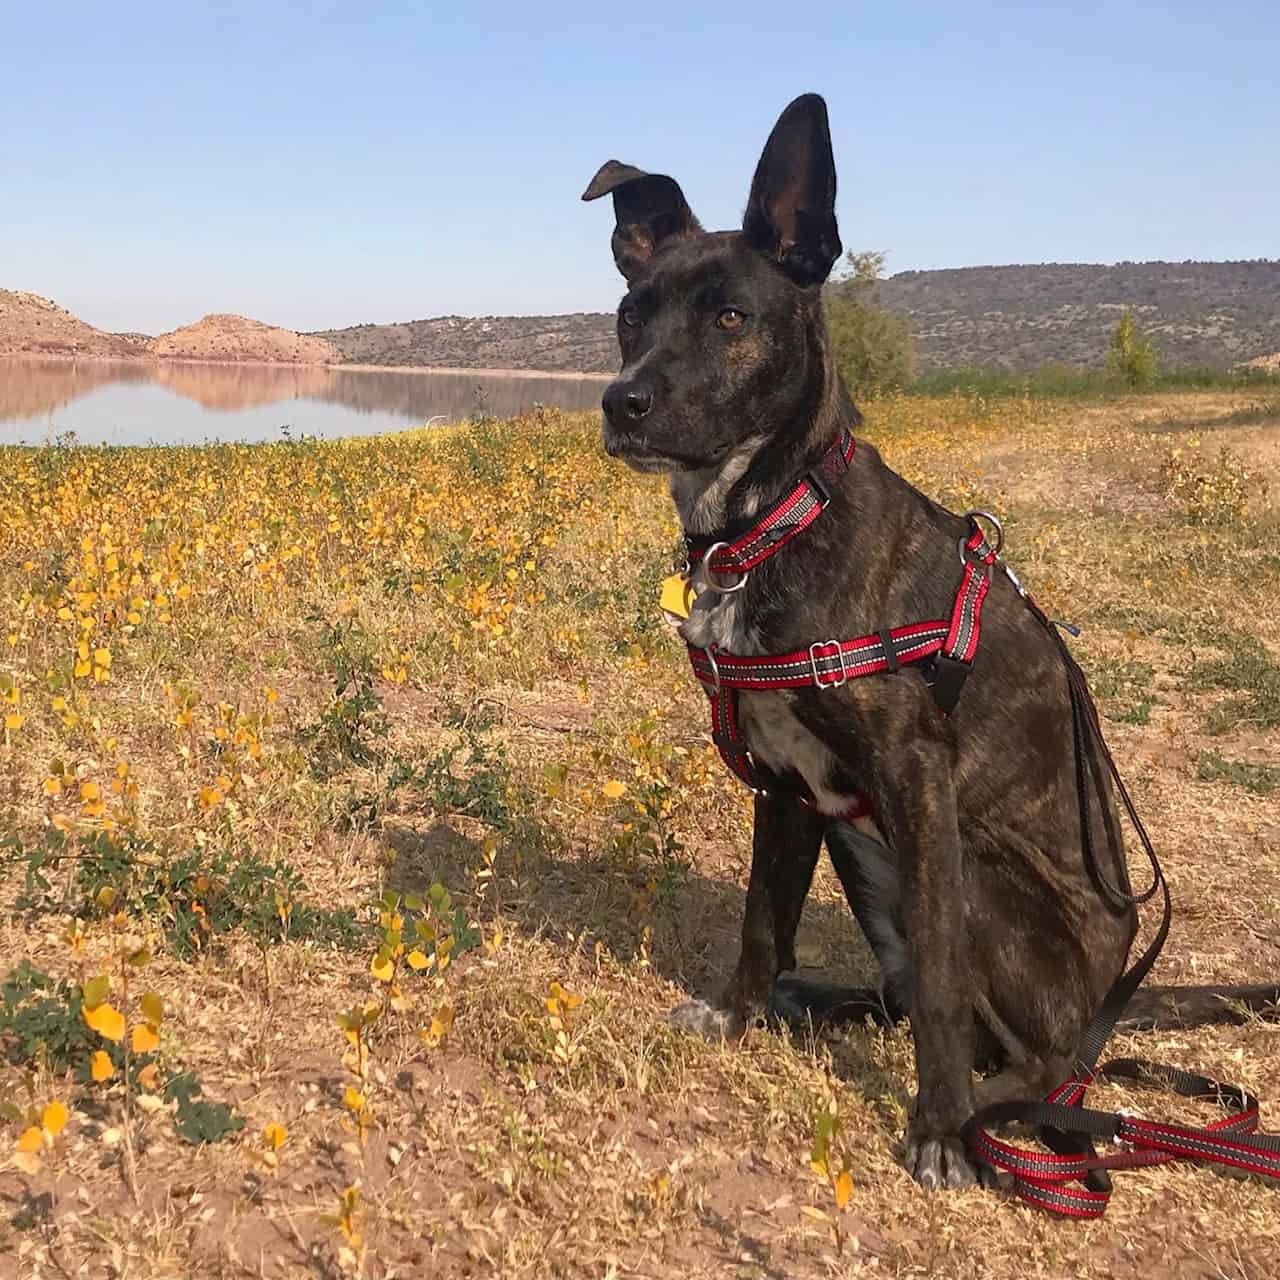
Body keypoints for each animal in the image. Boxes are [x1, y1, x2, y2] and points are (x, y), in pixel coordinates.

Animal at [586, 92, 1274, 1187]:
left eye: (730, 317)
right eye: (629, 316)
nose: (622, 403)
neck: (777, 517)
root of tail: (1105, 997)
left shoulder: (917, 779)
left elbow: (944, 984)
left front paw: (941, 1129)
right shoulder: (783, 787)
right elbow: (759, 919)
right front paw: (739, 1015)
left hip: (968, 871)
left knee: (1034, 1054)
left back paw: (1008, 1109)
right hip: (854, 836)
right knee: (906, 994)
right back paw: (824, 1001)